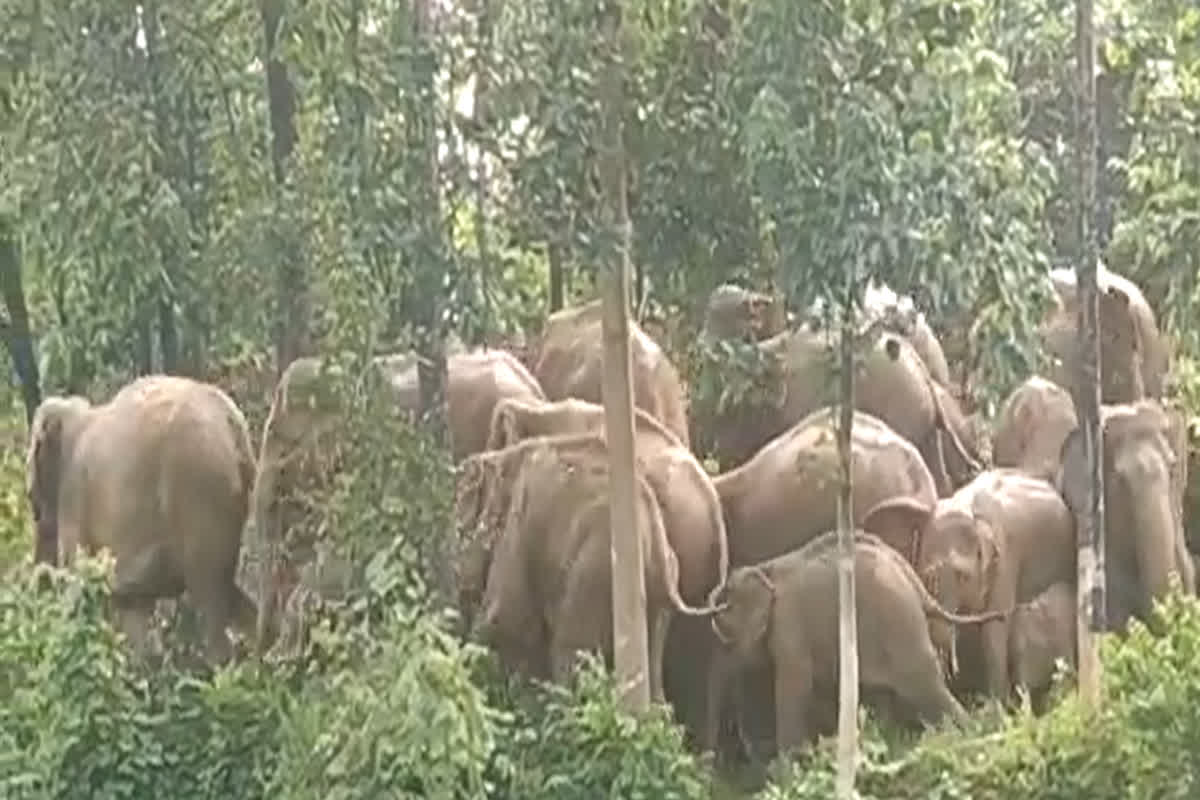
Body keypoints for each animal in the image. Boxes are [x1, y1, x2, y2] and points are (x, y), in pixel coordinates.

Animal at [25, 375, 258, 665]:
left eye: (31, 497)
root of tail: (233, 425)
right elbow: (133, 613)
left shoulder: (74, 496)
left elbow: (77, 581)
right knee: (230, 594)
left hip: (199, 491)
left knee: (209, 593)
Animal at [461, 434, 720, 700]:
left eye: (462, 527)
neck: (505, 456)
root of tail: (655, 536)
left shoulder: (518, 528)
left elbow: (507, 618)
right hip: (658, 586)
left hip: (593, 571)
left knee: (569, 652)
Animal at [706, 531, 1000, 757]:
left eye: (725, 633)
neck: (766, 570)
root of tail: (911, 576)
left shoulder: (790, 628)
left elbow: (794, 687)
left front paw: (788, 772)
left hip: (898, 621)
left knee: (925, 685)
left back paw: (972, 737)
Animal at [917, 469, 1076, 700]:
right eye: (928, 578)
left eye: (962, 576)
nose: (951, 673)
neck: (969, 508)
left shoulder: (1007, 559)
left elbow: (994, 627)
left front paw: (998, 705)